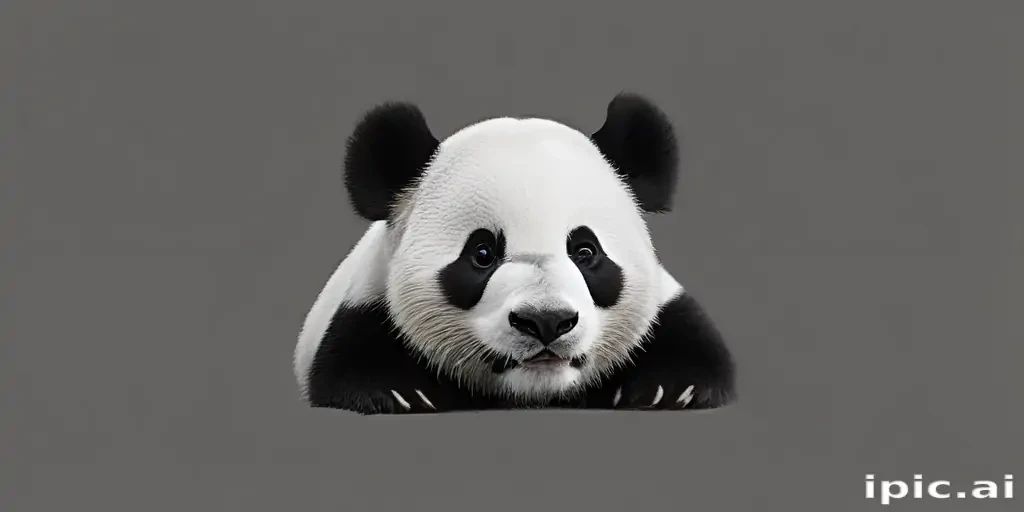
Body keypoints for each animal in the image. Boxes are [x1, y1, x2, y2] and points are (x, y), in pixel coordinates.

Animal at [293, 93, 736, 415]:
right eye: (482, 253)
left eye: (585, 251)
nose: (546, 321)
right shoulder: (366, 303)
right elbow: (350, 364)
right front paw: (401, 393)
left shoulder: (664, 304)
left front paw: (670, 389)